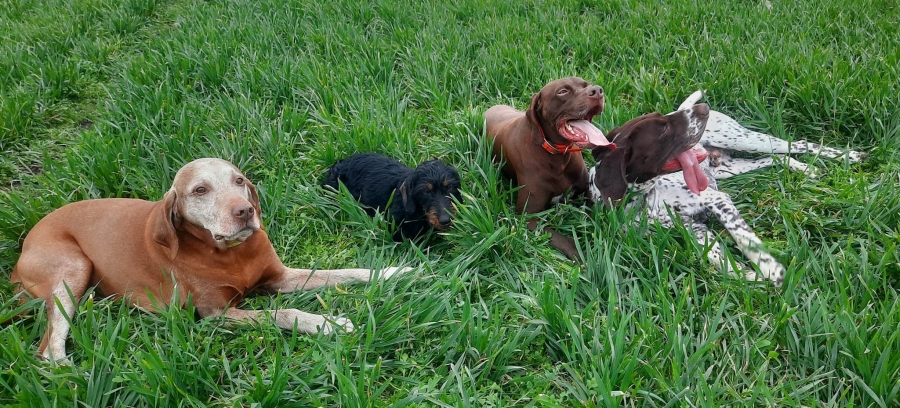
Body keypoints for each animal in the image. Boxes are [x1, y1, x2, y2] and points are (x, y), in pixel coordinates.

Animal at [10, 158, 410, 361]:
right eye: (200, 190)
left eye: (239, 181)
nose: (245, 211)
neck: (232, 254)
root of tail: (27, 241)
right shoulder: (216, 314)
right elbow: (283, 313)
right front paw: (327, 323)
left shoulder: (280, 277)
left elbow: (343, 272)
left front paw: (394, 271)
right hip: (73, 268)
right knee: (48, 347)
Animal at [485, 77, 616, 260]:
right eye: (562, 91)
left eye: (587, 85)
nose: (597, 90)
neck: (557, 155)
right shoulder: (528, 216)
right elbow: (564, 239)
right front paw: (582, 256)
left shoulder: (587, 192)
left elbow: (594, 215)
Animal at [590, 91, 864, 285]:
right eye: (663, 129)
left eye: (663, 119)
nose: (704, 109)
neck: (645, 196)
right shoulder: (695, 228)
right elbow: (719, 259)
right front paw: (749, 276)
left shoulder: (717, 199)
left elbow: (745, 239)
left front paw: (769, 268)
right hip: (730, 167)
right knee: (777, 158)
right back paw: (808, 170)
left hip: (747, 140)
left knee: (797, 143)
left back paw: (848, 156)